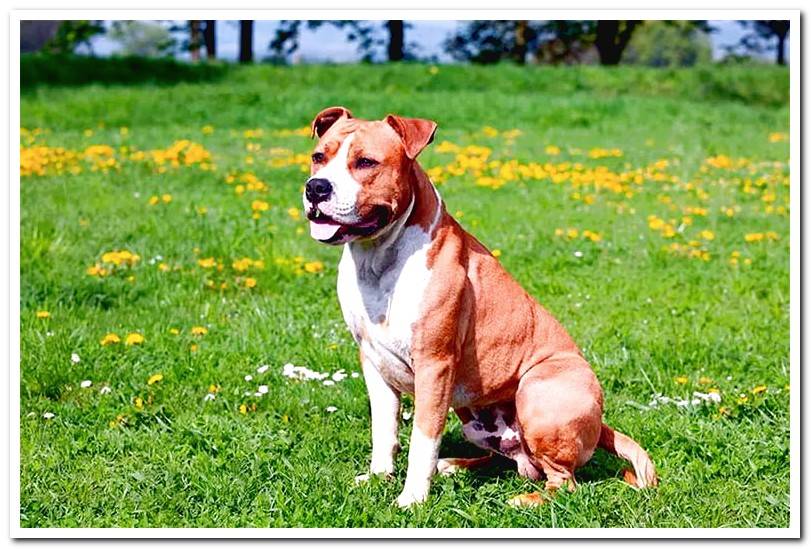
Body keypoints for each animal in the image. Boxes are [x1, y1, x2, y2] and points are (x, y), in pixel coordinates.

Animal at [302, 105, 656, 508]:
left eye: (365, 162)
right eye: (319, 157)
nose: (316, 188)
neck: (378, 258)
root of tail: (600, 424)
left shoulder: (434, 365)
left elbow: (422, 439)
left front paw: (412, 498)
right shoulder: (374, 362)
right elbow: (384, 430)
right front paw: (379, 477)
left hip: (537, 390)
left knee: (562, 481)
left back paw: (521, 500)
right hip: (475, 419)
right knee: (512, 462)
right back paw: (454, 466)